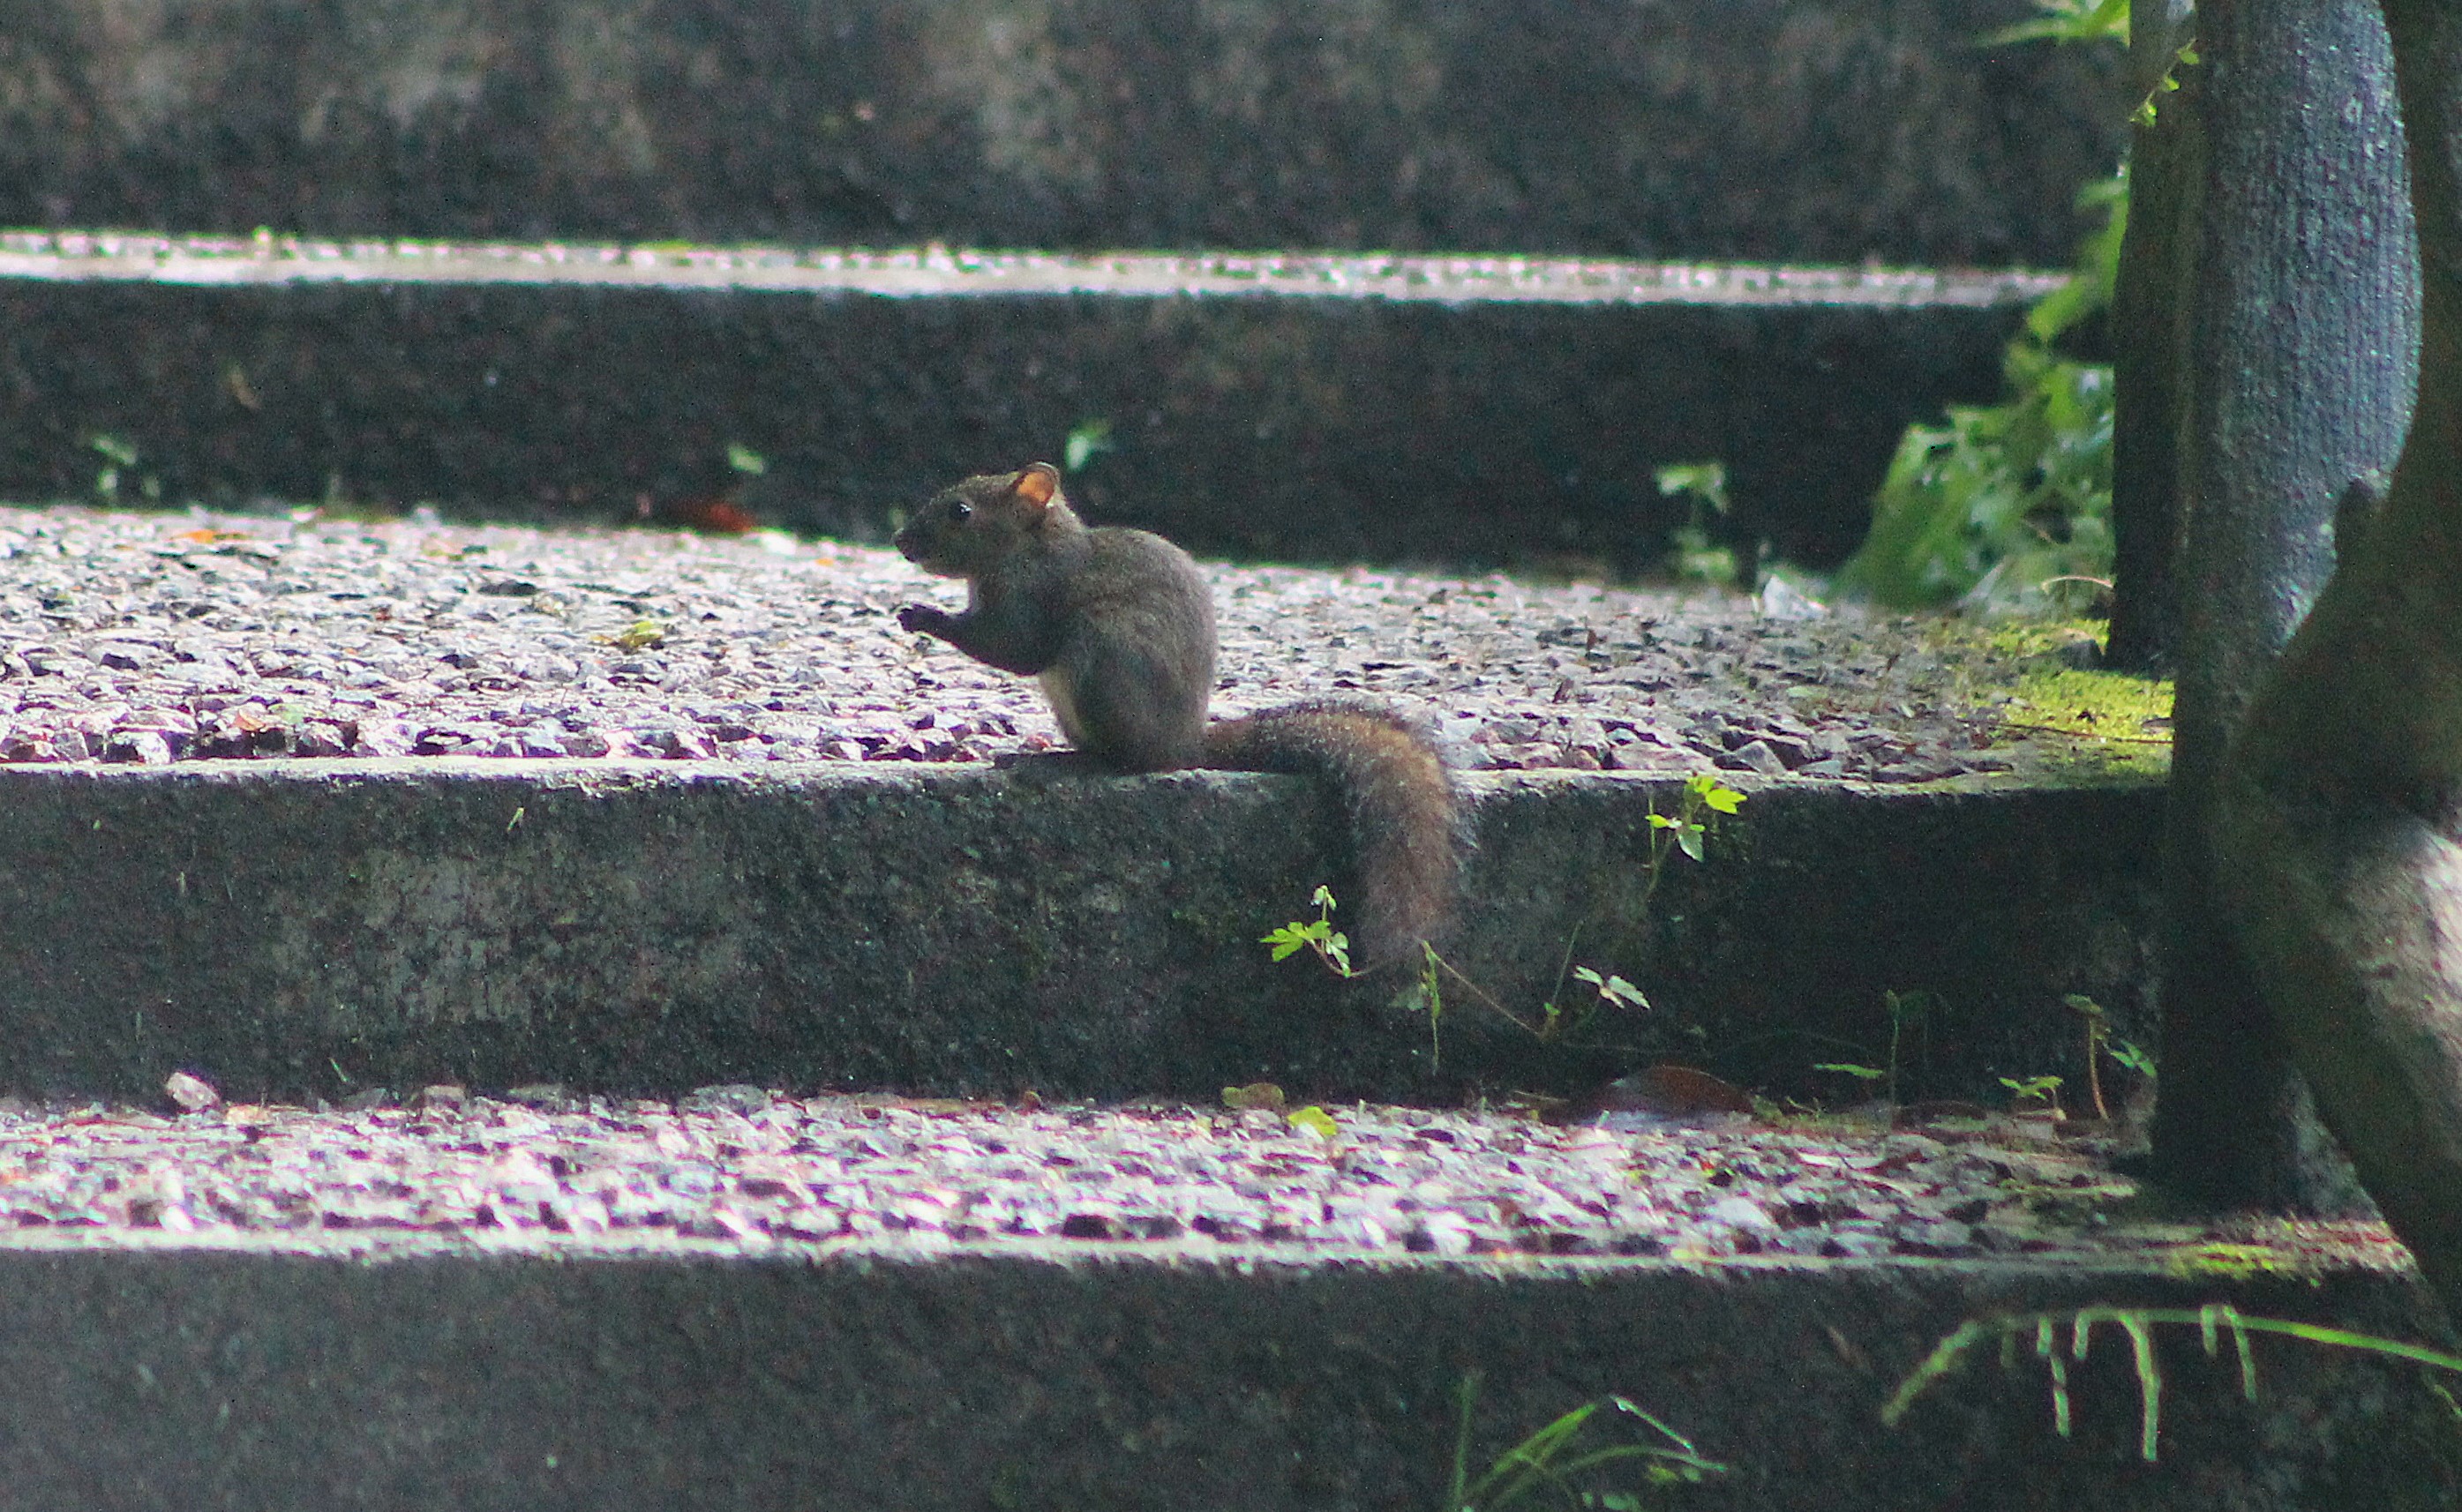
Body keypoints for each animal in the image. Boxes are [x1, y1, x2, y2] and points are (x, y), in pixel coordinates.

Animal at [893, 461, 1459, 966]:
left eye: (961, 511)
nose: (900, 542)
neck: (1030, 546)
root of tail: (1184, 743)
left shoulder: (1032, 599)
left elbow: (1013, 648)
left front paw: (924, 616)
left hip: (1103, 655)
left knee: (1129, 762)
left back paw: (1060, 763)